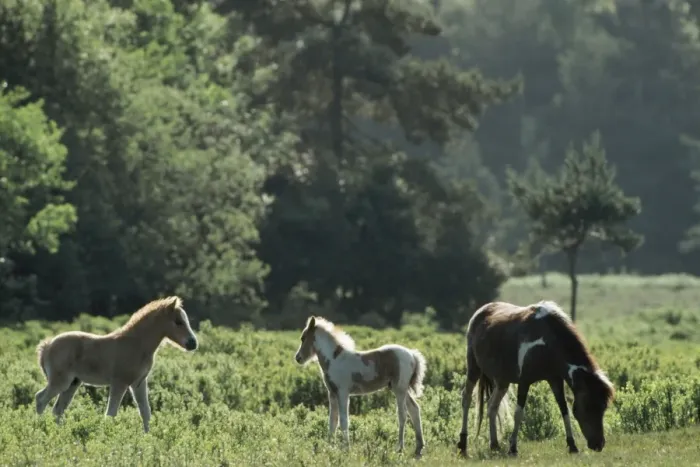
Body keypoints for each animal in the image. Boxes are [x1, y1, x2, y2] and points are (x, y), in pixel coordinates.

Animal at [34, 296, 198, 433]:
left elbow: (145, 412)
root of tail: (47, 346)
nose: (193, 343)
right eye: (178, 322)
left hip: (73, 383)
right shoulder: (120, 383)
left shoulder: (138, 383)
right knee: (41, 399)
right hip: (60, 381)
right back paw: (40, 429)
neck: (137, 345)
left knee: (58, 409)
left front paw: (148, 437)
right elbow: (111, 413)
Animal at [294, 316, 427, 457]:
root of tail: (412, 354)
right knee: (414, 409)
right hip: (401, 389)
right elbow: (332, 421)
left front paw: (346, 448)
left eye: (303, 337)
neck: (335, 360)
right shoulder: (332, 394)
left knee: (402, 414)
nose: (298, 358)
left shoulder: (343, 393)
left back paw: (400, 448)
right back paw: (418, 448)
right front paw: (329, 447)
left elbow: (343, 420)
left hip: (399, 389)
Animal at [456, 300, 615, 457]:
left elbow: (564, 409)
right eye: (588, 406)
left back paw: (494, 445)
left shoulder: (555, 380)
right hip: (474, 369)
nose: (598, 444)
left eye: (603, 407)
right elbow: (518, 413)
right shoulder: (524, 382)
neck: (547, 342)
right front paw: (512, 448)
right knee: (467, 398)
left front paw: (572, 446)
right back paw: (462, 445)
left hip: (502, 382)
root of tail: (480, 311)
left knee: (491, 406)